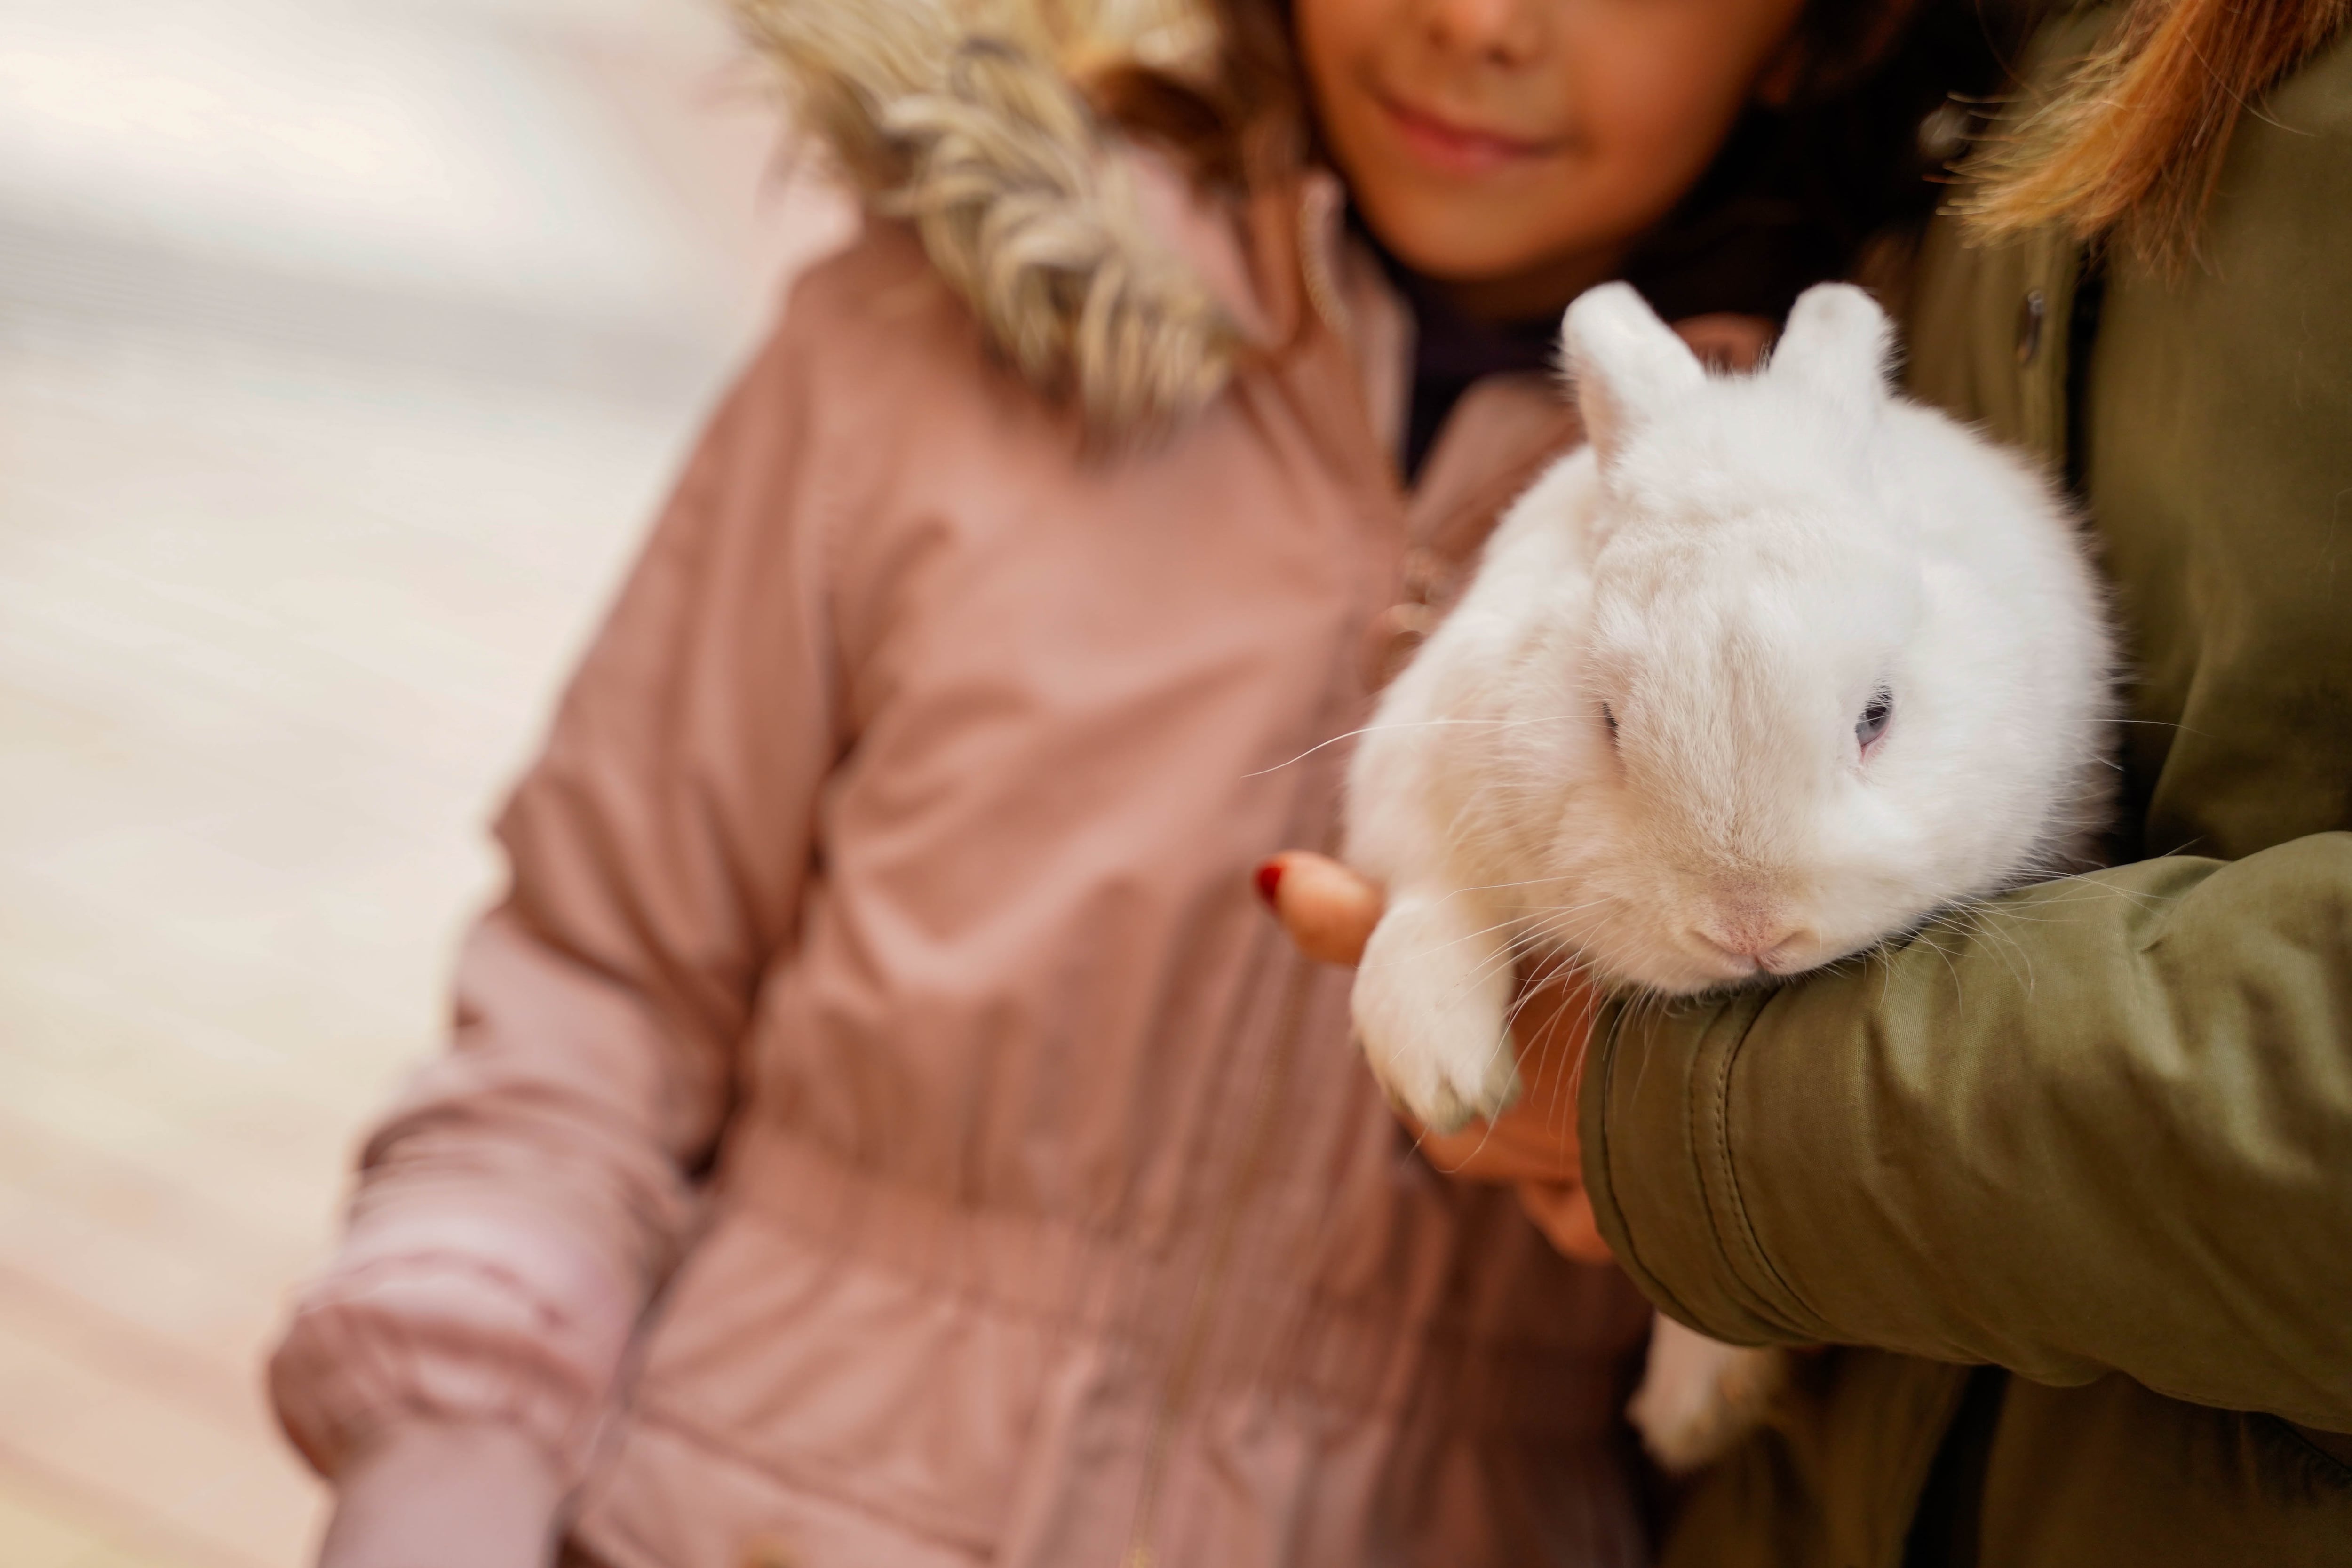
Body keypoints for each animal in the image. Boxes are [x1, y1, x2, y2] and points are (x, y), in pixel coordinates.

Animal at [1345, 279, 2117, 1476]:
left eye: (1876, 716)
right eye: (1607, 722)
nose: (1749, 927)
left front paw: (1697, 1402)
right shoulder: (1420, 773)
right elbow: (1427, 911)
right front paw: (1446, 1077)